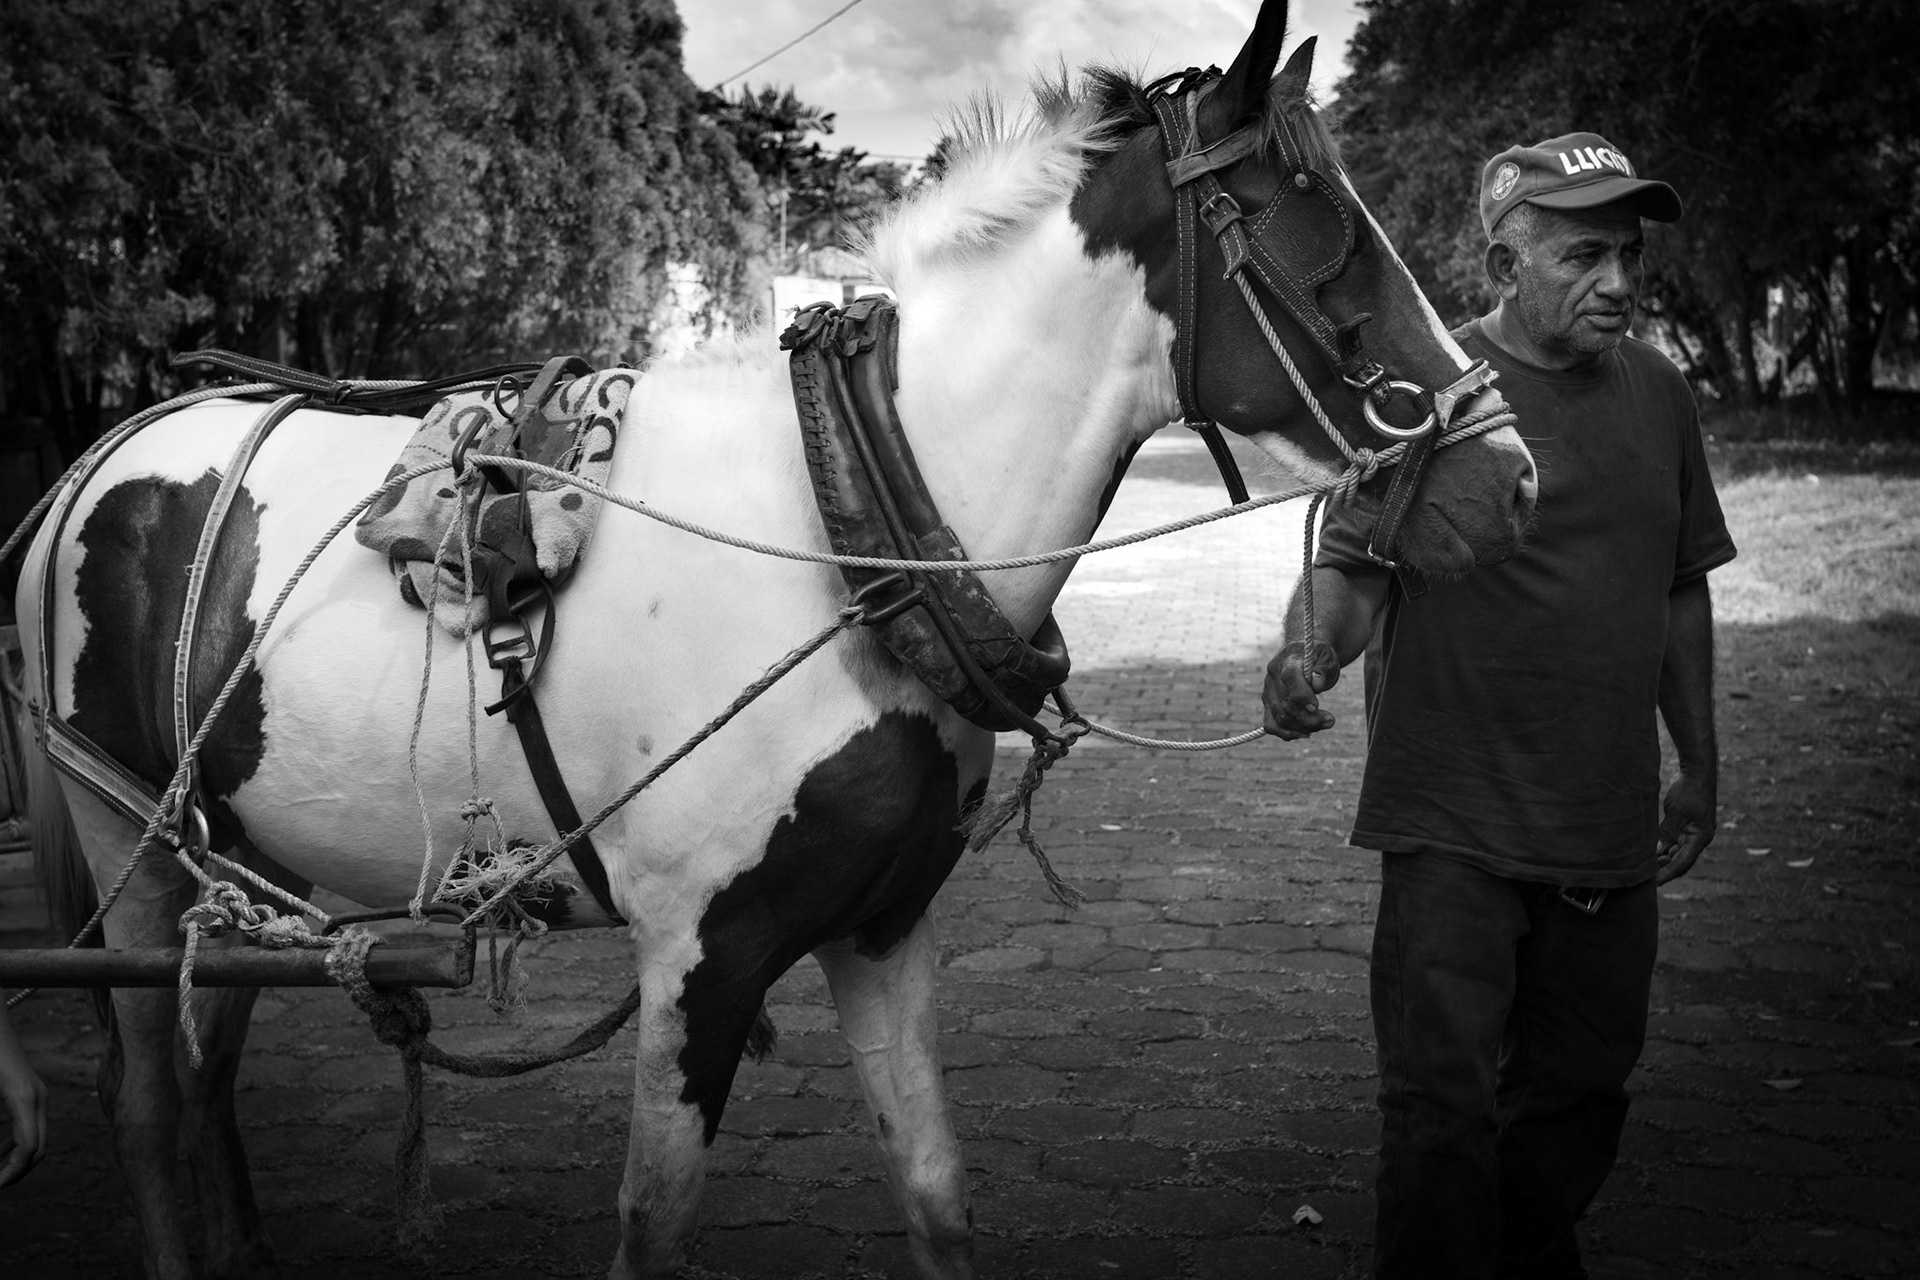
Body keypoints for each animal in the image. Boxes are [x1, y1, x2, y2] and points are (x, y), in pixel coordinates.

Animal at [14, 3, 1536, 1276]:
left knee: (207, 1063)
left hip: (238, 846)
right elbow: (650, 1229)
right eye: (1324, 232)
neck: (850, 535)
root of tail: (106, 450)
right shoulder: (701, 953)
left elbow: (935, 1195)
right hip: (128, 840)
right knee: (145, 1094)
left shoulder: (883, 924)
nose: (1508, 476)